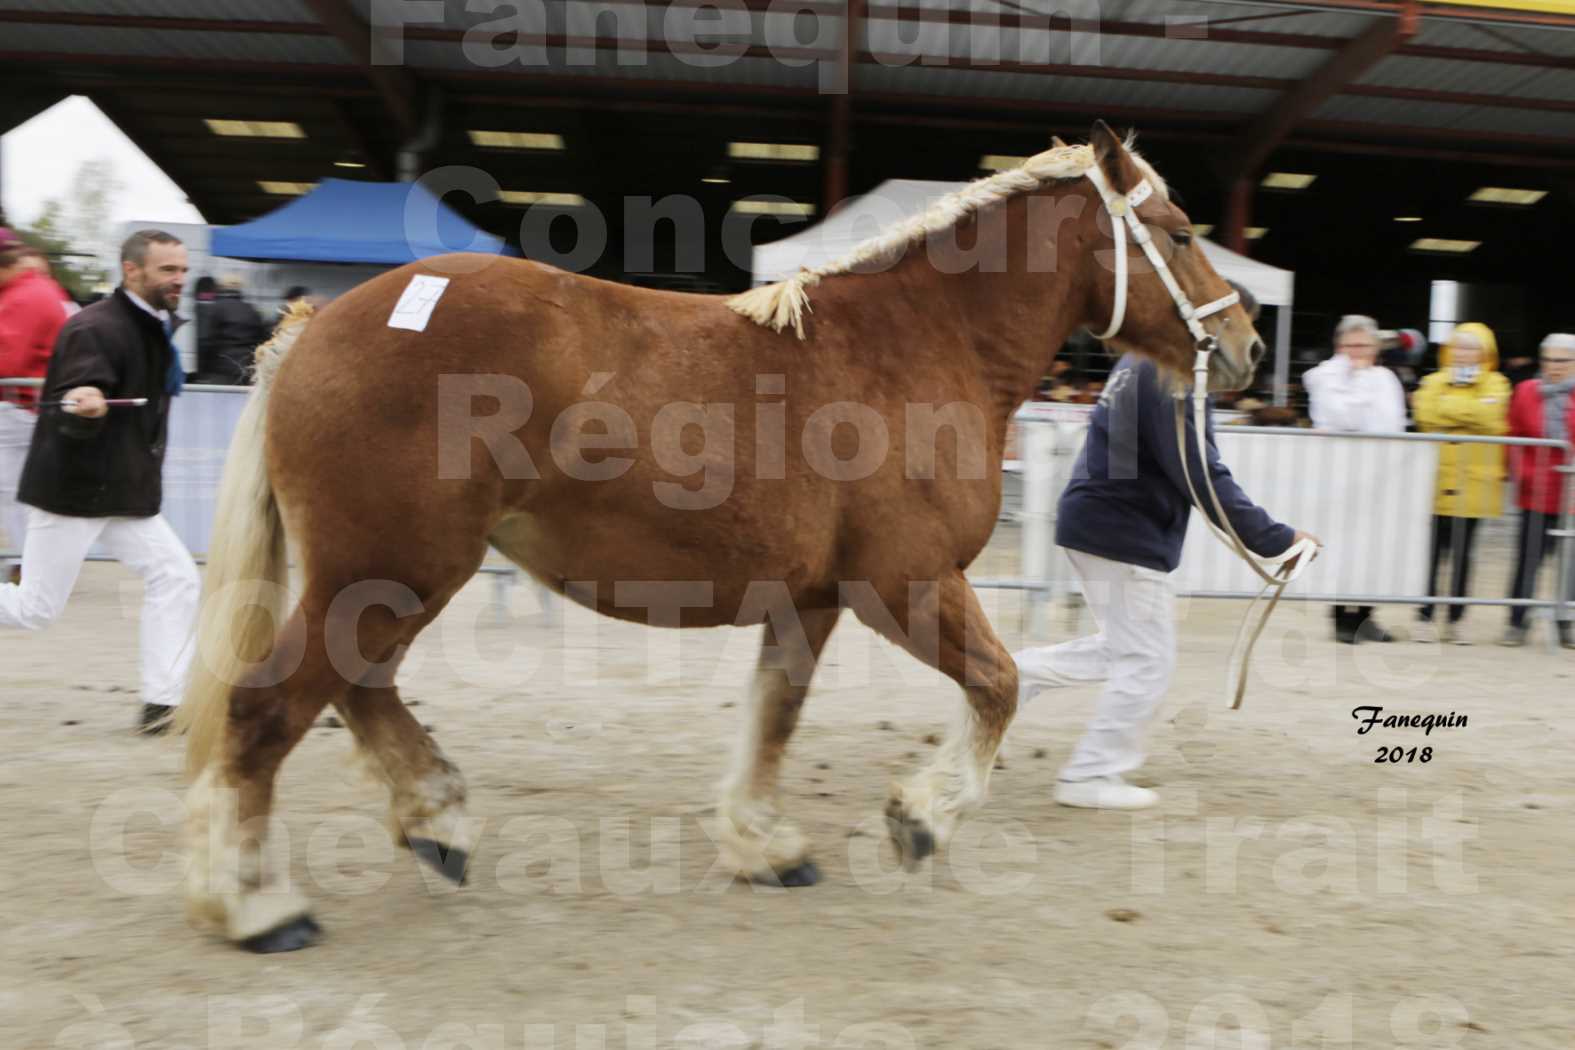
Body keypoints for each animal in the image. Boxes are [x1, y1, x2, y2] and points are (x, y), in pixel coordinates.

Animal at [175, 123, 1266, 950]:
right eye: (1176, 230)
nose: (1246, 343)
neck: (916, 349)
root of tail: (313, 328)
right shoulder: (906, 582)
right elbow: (995, 686)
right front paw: (919, 819)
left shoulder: (814, 598)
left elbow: (774, 715)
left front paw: (765, 845)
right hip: (390, 572)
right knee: (269, 709)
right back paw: (258, 904)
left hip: (385, 577)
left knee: (356, 691)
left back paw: (435, 821)